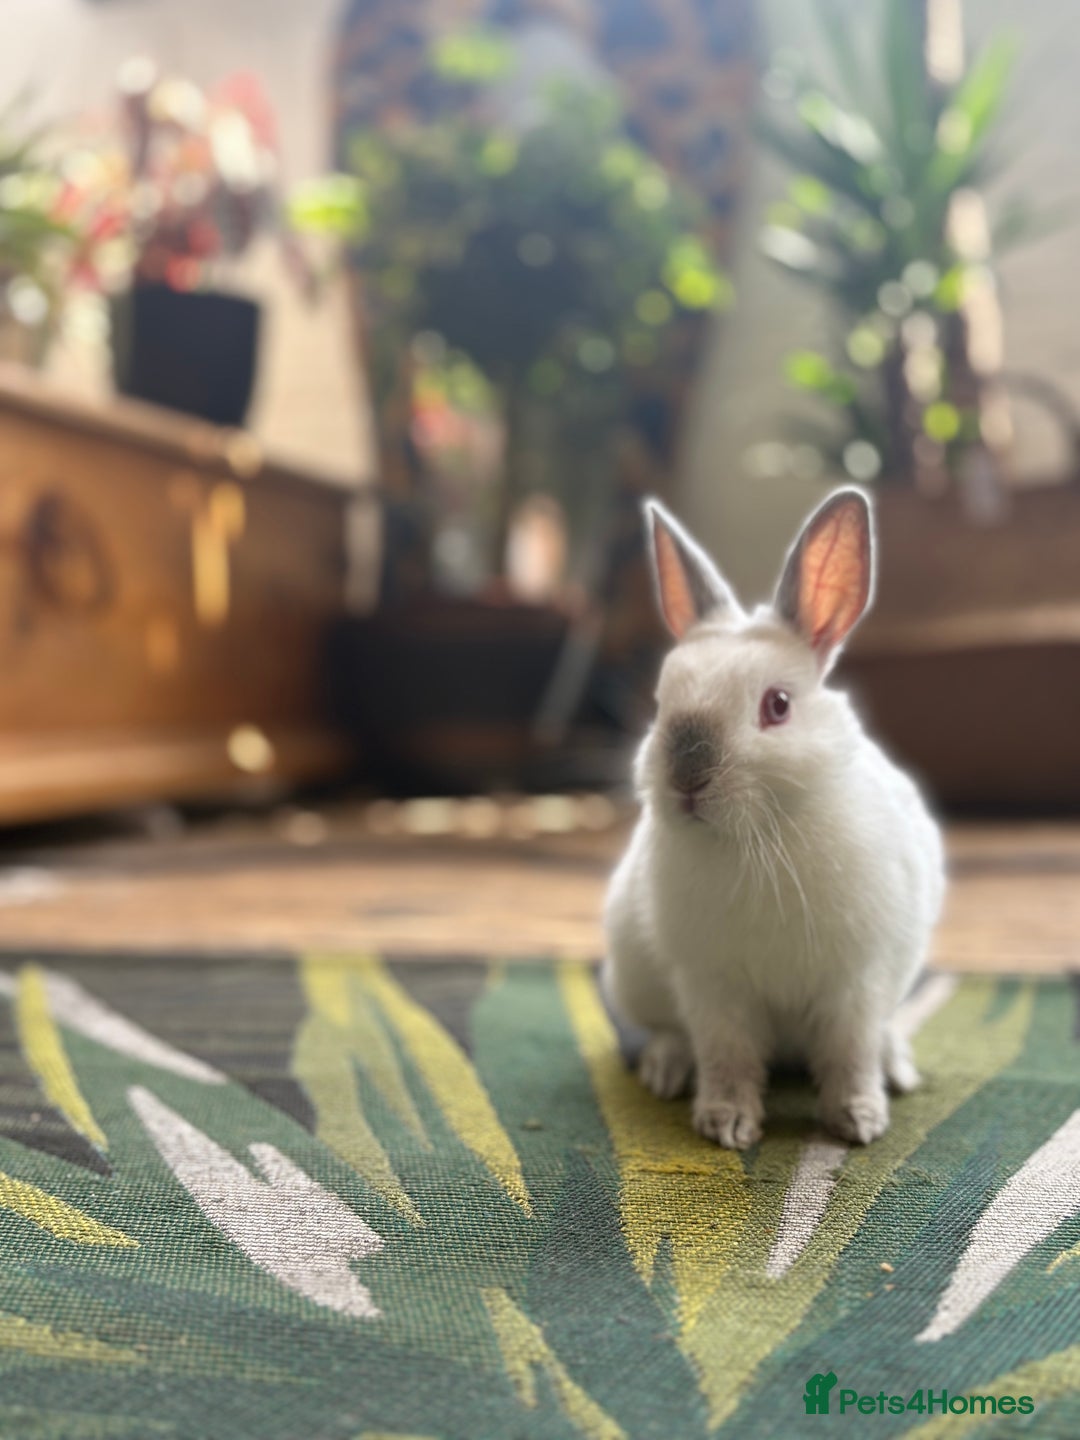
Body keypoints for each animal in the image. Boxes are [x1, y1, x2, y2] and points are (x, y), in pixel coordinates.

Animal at [602, 488, 945, 1149]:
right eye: (661, 703)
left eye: (778, 705)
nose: (687, 779)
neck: (758, 839)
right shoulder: (713, 986)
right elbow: (727, 1056)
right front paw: (727, 1125)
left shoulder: (856, 982)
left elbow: (849, 1053)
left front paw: (859, 1122)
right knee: (671, 1032)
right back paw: (664, 1069)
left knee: (878, 1035)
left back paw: (898, 1067)